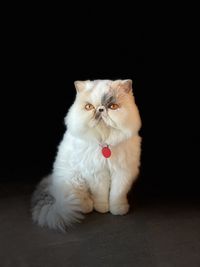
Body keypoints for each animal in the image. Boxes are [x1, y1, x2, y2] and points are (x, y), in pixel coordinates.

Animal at [31, 78, 141, 231]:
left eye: (113, 106)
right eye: (89, 107)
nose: (100, 109)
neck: (105, 142)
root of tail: (52, 181)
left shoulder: (123, 172)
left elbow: (117, 194)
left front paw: (118, 209)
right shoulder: (97, 173)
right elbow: (101, 195)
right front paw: (102, 209)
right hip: (74, 180)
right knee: (78, 199)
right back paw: (87, 206)